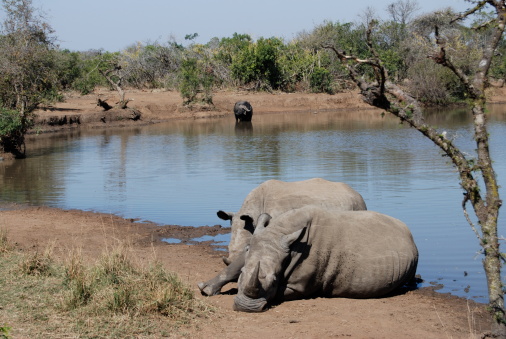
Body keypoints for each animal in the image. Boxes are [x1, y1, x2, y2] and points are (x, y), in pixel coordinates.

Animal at [234, 205, 420, 314]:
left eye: (273, 281)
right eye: (241, 272)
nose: (246, 308)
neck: (278, 232)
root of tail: (408, 232)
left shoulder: (299, 286)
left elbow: (279, 293)